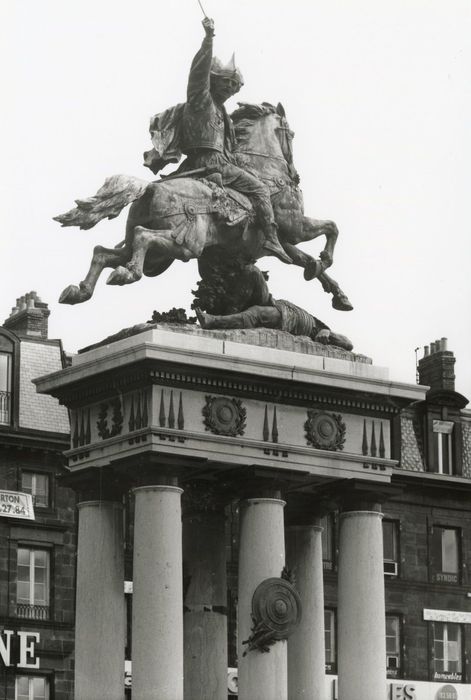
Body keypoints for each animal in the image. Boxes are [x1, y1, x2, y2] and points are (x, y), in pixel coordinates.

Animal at [55, 101, 352, 308]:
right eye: (291, 134)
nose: (294, 173)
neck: (264, 172)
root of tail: (151, 187)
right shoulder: (296, 228)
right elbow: (332, 227)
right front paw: (325, 260)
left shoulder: (283, 240)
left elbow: (304, 259)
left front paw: (336, 292)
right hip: (187, 244)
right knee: (141, 238)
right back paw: (126, 274)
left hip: (156, 254)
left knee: (103, 252)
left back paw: (79, 291)